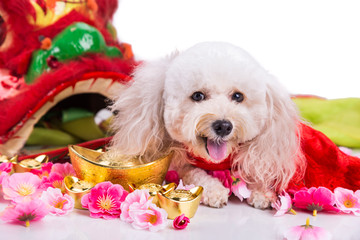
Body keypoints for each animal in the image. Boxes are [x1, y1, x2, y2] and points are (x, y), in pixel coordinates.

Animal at [108, 42, 306, 209]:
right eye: (197, 96)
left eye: (238, 96)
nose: (223, 126)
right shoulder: (177, 165)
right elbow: (194, 172)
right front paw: (214, 190)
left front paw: (262, 191)